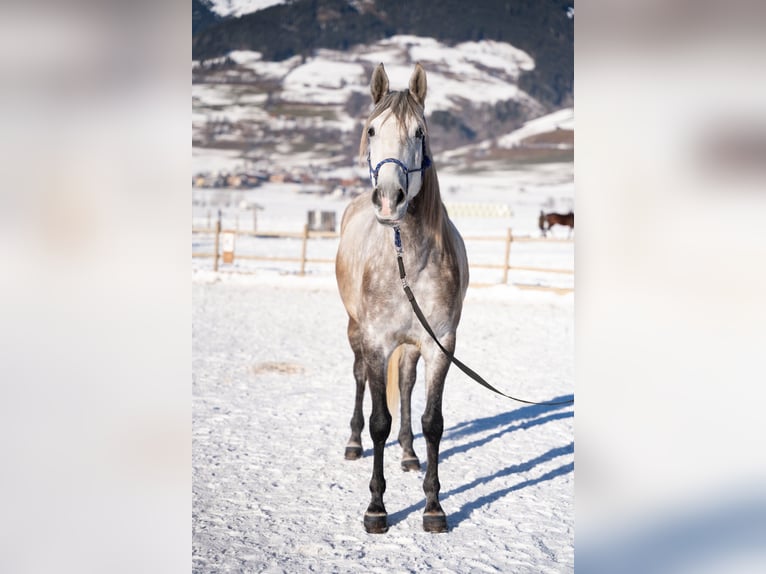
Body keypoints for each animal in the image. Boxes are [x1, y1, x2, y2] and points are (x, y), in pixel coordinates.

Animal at [338, 65, 472, 536]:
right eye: (372, 130)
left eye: (420, 132)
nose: (389, 199)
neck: (407, 258)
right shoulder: (377, 343)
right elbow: (380, 421)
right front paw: (377, 508)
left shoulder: (440, 344)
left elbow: (434, 422)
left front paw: (433, 506)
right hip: (355, 331)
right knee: (359, 377)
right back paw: (352, 442)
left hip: (412, 345)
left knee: (409, 382)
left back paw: (410, 454)